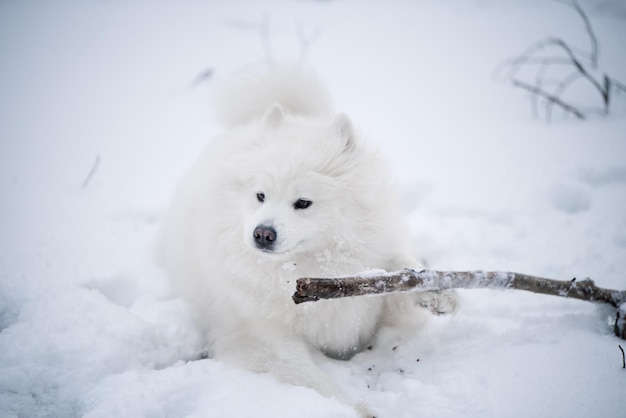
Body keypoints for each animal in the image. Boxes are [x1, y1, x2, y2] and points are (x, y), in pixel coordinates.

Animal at [156, 68, 454, 414]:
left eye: (303, 203)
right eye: (260, 195)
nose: (262, 233)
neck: (307, 266)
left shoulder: (373, 283)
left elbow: (396, 272)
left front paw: (437, 292)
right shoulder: (261, 335)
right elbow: (310, 376)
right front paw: (353, 408)